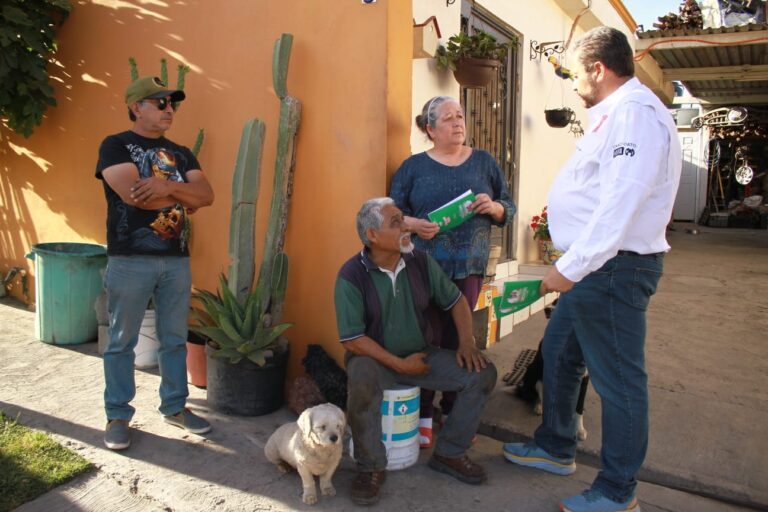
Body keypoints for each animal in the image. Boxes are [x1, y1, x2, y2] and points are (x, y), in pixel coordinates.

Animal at [520, 302, 592, 442]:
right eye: (554, 301)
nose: (546, 309)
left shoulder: (584, 379)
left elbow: (579, 409)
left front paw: (580, 430)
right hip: (533, 370)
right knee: (536, 393)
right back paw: (538, 406)